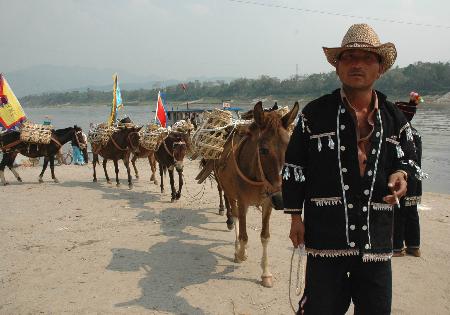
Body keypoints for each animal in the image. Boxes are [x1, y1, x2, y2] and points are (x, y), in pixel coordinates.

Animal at [196, 102, 296, 288]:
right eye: (263, 150)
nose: (282, 199)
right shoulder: (242, 201)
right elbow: (244, 235)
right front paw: (241, 253)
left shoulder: (267, 204)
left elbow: (265, 236)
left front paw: (266, 273)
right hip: (228, 192)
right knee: (234, 216)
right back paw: (237, 246)